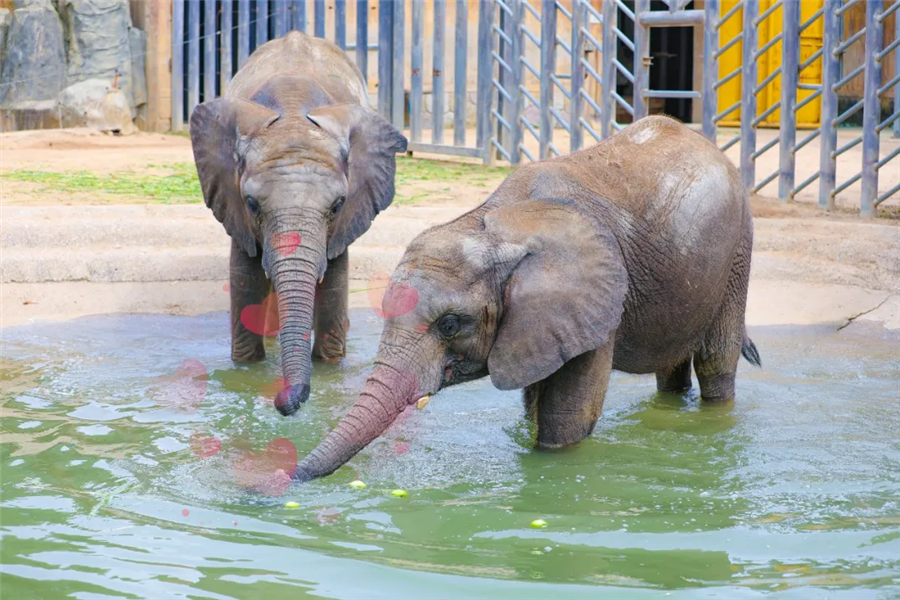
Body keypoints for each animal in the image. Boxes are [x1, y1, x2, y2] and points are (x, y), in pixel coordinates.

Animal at [193, 30, 412, 414]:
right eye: (251, 204)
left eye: (338, 206)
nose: (284, 402)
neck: (293, 115)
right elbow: (245, 277)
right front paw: (248, 373)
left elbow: (335, 282)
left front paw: (327, 369)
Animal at [296, 116, 760, 482]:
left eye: (450, 324)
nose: (292, 472)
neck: (497, 226)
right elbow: (535, 401)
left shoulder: (593, 304)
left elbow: (568, 419)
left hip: (738, 251)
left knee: (716, 362)